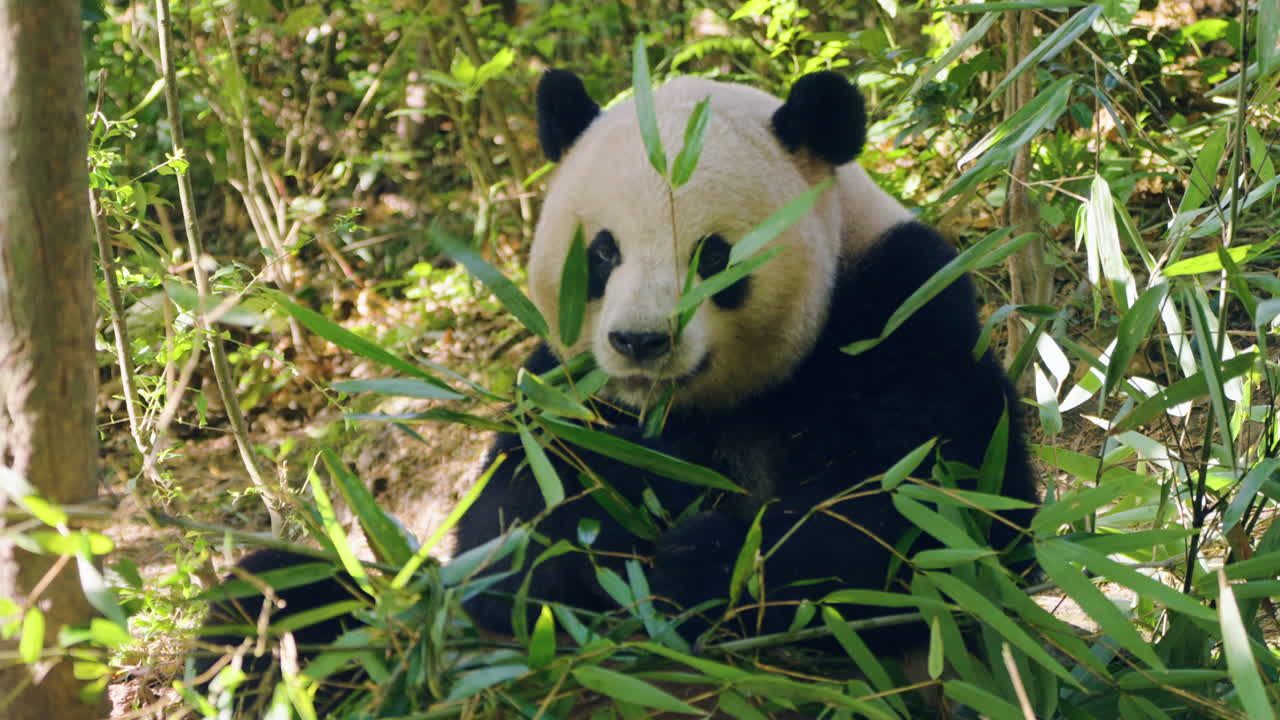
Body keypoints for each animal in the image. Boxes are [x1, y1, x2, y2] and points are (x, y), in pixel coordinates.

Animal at [196, 68, 1037, 698]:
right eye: (602, 253)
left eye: (714, 255)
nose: (640, 341)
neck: (696, 405)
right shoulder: (567, 391)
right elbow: (511, 524)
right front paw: (584, 569)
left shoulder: (902, 307)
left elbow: (923, 518)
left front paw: (696, 561)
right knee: (291, 598)